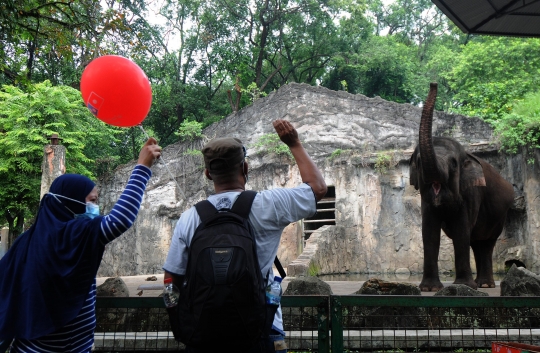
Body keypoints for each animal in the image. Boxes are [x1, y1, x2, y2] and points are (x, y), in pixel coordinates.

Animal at [410, 83, 516, 292]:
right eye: (418, 162)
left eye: (453, 164)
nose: (433, 83)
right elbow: (429, 232)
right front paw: (429, 289)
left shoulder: (471, 194)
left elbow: (461, 230)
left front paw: (463, 286)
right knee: (475, 241)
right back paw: (479, 284)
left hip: (499, 216)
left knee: (486, 243)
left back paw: (484, 285)